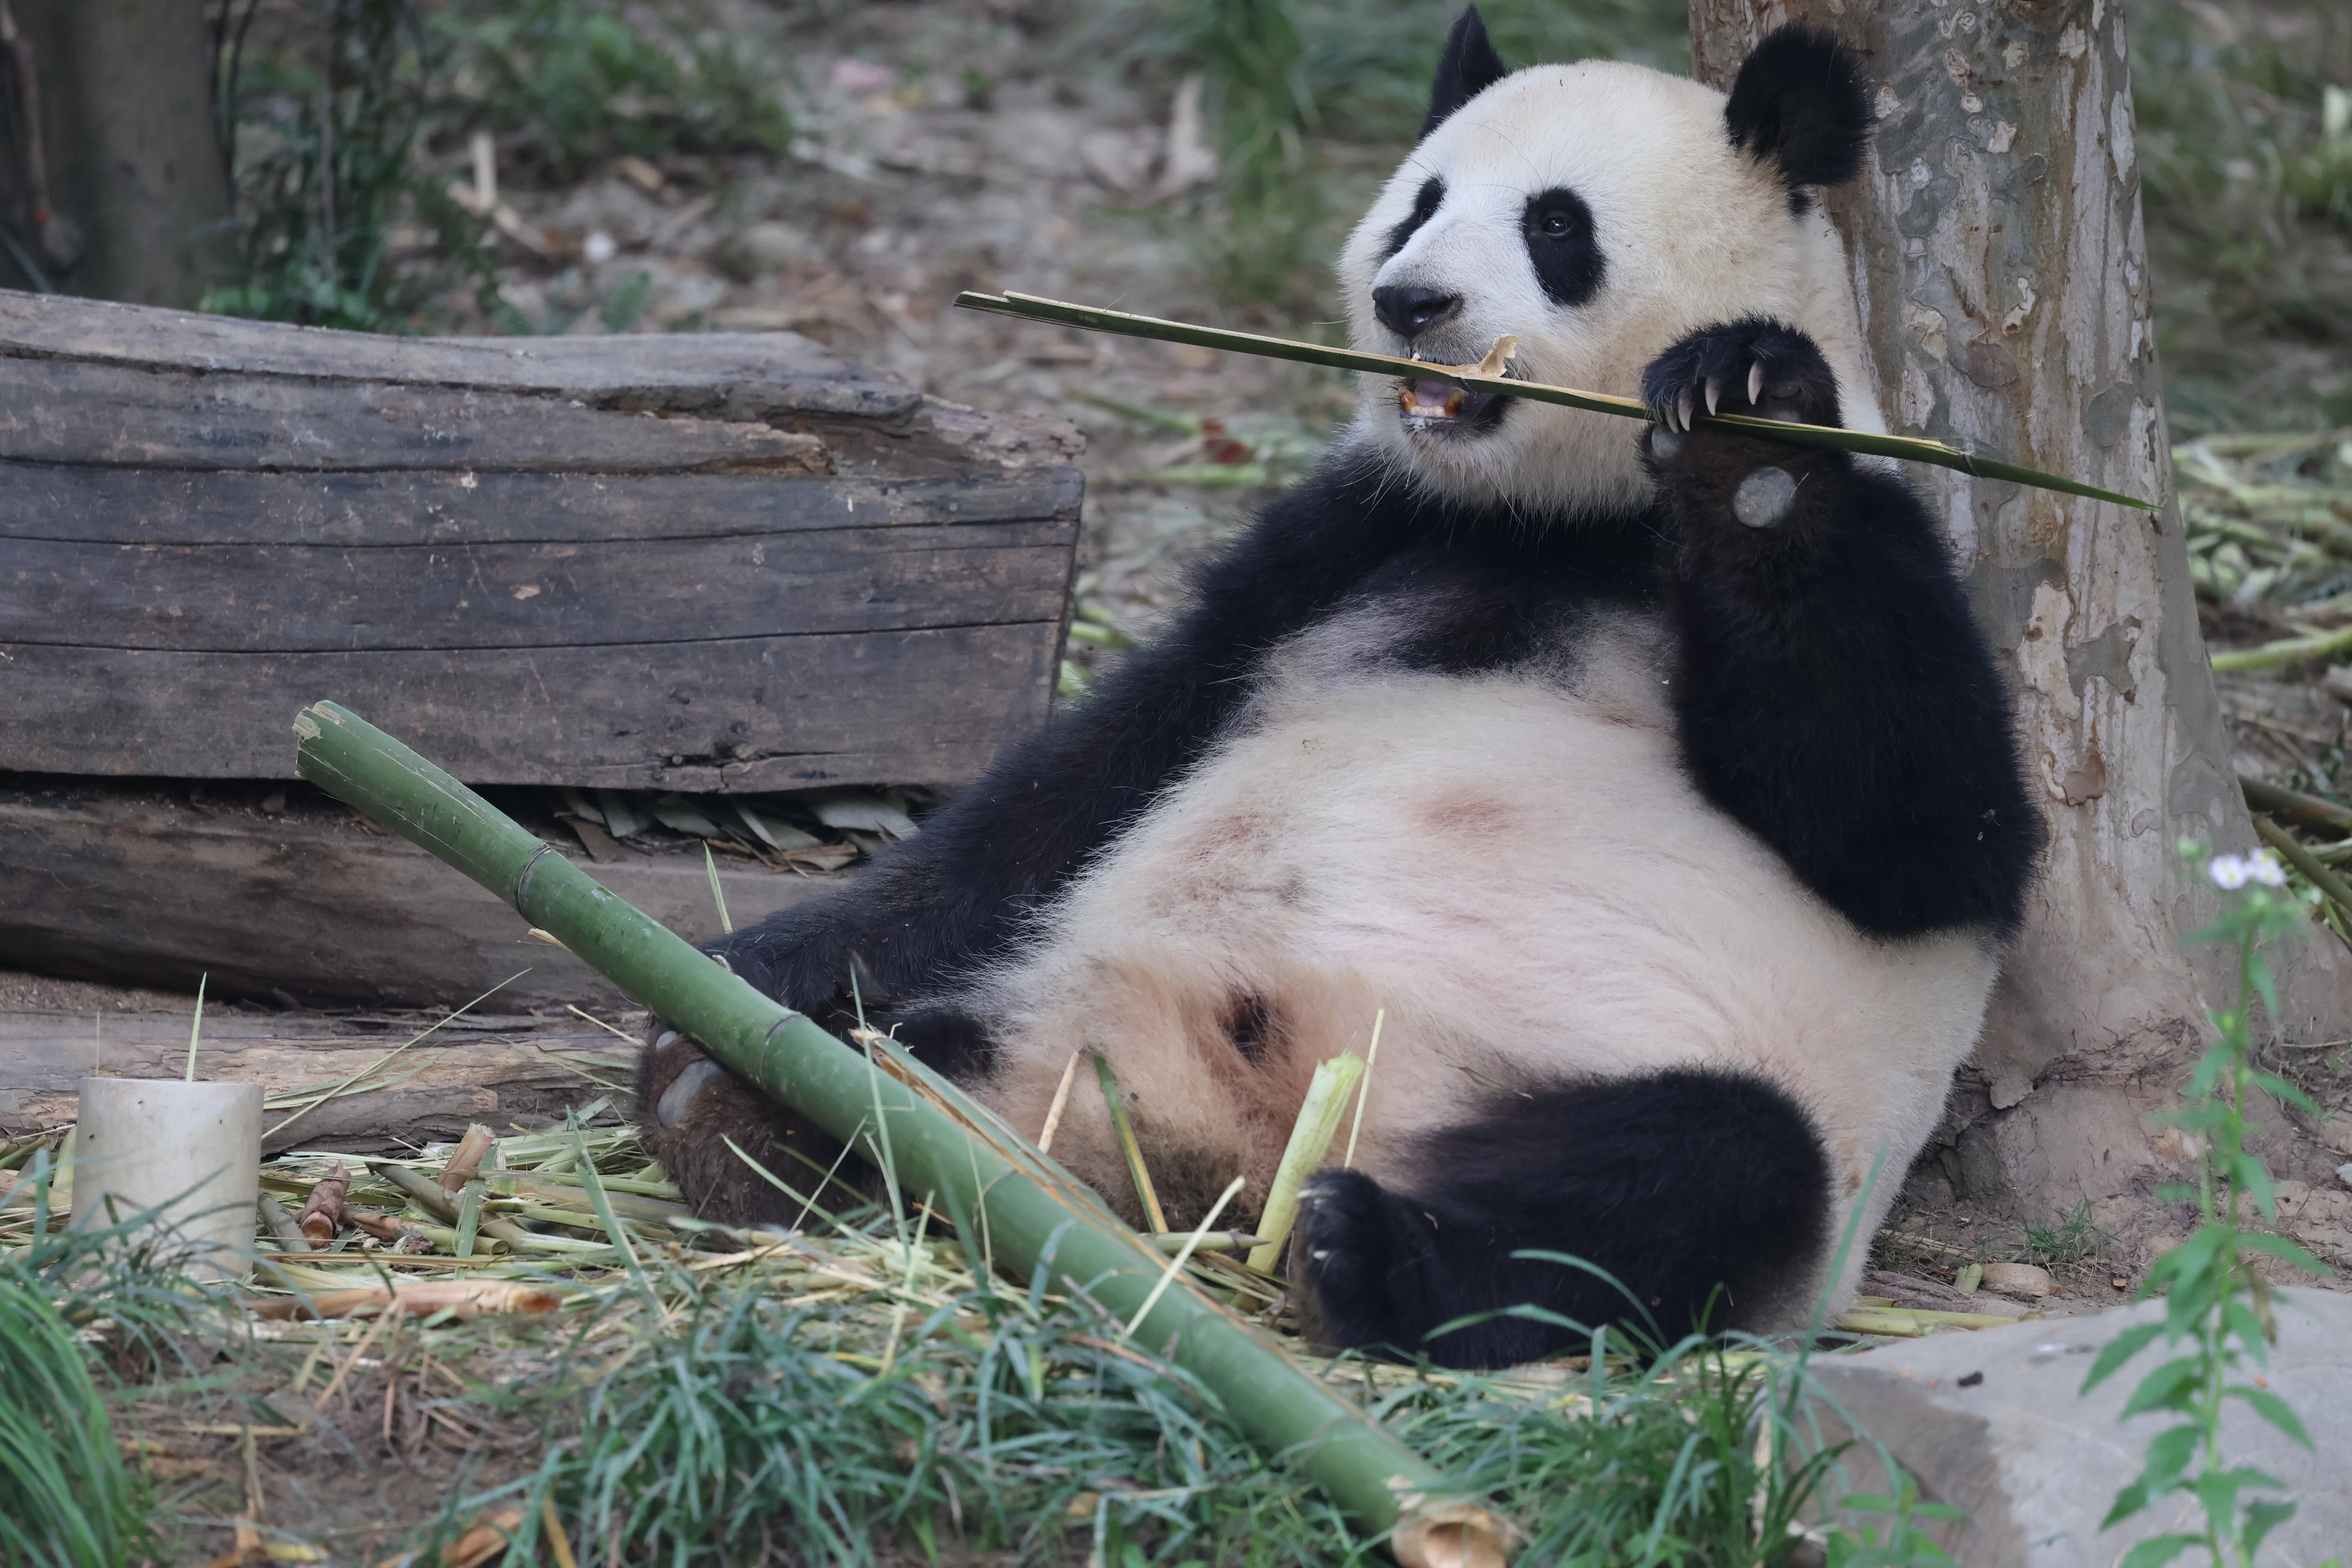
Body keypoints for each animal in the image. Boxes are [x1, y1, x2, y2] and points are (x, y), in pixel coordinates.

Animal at [639, 9, 2043, 1369]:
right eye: (1420, 201)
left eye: (1555, 224)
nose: (1410, 298)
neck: (1560, 518)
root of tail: (1243, 1142)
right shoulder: (1353, 537)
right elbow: (1082, 775)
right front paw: (739, 973)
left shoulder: (1883, 545)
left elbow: (1926, 836)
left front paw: (1744, 423)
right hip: (1066, 1027)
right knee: (941, 1050)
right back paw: (756, 1104)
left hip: (1668, 1091)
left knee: (1696, 1171)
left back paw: (1368, 1252)